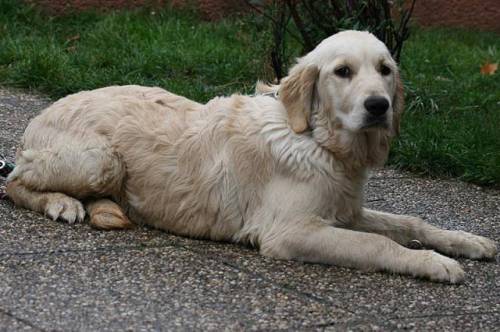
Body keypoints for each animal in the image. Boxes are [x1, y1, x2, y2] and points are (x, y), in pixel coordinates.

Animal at [4, 30, 496, 282]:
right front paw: (434, 263)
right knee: (14, 183)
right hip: (100, 158)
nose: (379, 106)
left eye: (385, 70)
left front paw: (464, 241)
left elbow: (410, 224)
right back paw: (62, 203)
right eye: (342, 72)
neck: (315, 139)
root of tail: (38, 116)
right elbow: (380, 244)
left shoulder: (345, 212)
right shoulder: (290, 232)